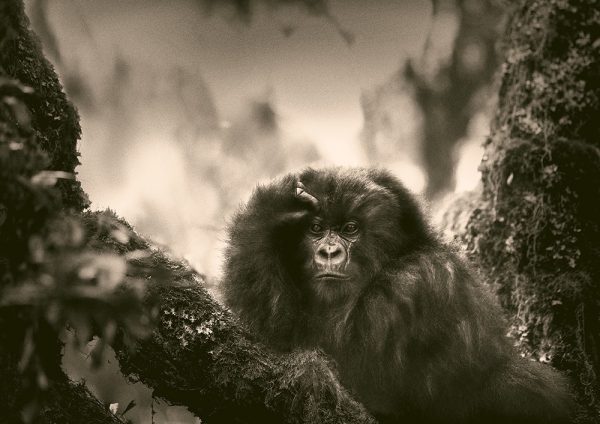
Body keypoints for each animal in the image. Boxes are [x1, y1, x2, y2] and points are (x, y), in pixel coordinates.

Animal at [222, 167, 574, 423]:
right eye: (316, 229)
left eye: (350, 229)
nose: (329, 252)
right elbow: (273, 335)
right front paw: (268, 212)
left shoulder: (418, 282)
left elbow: (356, 372)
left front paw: (310, 373)